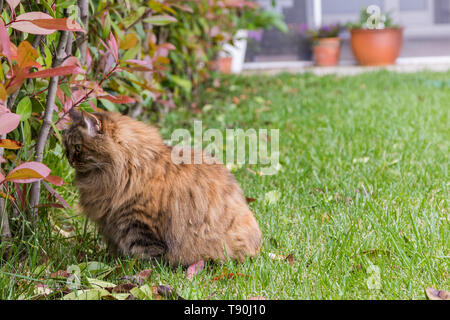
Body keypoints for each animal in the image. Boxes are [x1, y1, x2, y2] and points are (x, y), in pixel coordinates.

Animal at [62, 109, 260, 266]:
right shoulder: (112, 224)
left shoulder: (137, 222)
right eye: (66, 148)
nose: (69, 160)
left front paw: (138, 270)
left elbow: (145, 252)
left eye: (77, 147)